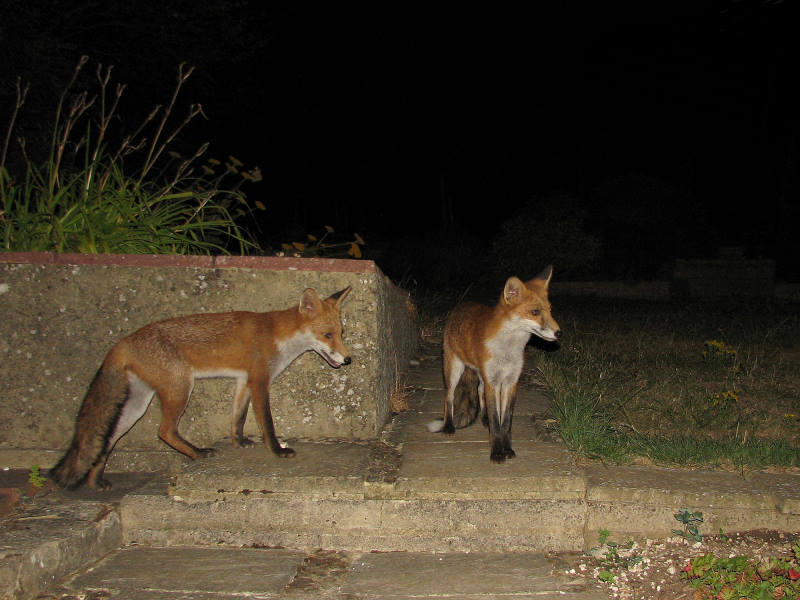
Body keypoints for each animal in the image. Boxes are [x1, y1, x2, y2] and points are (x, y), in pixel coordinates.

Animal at [50, 288, 350, 492]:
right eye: (327, 335)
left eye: (342, 333)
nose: (348, 359)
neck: (278, 335)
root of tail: (123, 342)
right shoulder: (259, 381)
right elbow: (267, 423)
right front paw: (277, 451)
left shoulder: (243, 381)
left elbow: (237, 418)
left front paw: (239, 443)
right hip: (180, 387)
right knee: (164, 431)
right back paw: (197, 453)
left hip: (137, 404)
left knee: (107, 439)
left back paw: (95, 480)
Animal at [428, 268, 560, 464]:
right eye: (535, 312)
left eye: (550, 311)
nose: (559, 333)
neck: (507, 351)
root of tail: (462, 305)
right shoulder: (494, 382)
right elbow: (496, 422)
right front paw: (497, 452)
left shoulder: (510, 382)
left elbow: (505, 421)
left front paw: (507, 449)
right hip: (454, 370)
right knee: (449, 398)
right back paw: (449, 426)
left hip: (482, 375)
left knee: (479, 390)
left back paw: (484, 420)